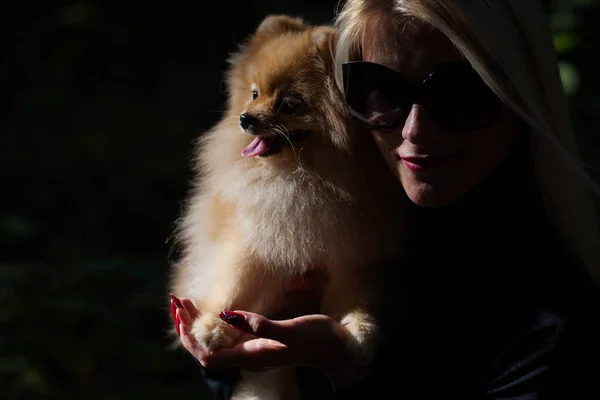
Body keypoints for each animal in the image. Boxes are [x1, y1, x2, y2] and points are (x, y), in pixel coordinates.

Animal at [169, 14, 408, 398]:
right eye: (254, 93)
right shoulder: (255, 237)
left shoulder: (358, 244)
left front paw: (360, 329)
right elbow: (237, 282)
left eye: (288, 103)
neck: (308, 175)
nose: (245, 118)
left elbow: (358, 291)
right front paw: (214, 326)